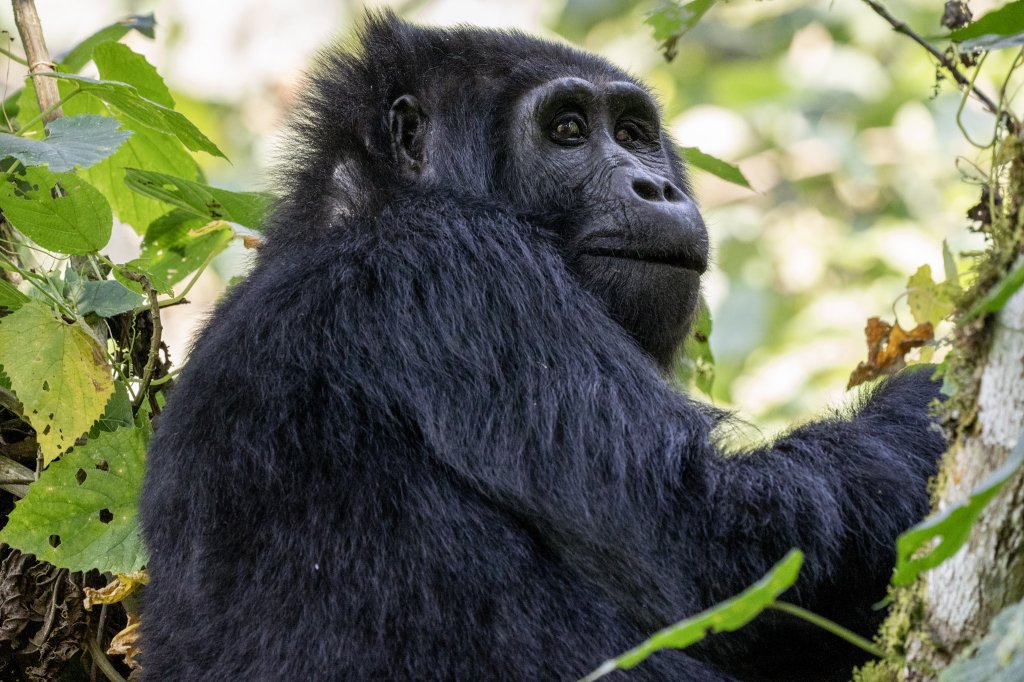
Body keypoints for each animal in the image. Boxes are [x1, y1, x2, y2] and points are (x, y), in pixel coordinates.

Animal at [138, 11, 942, 679]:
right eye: (567, 130)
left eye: (633, 133)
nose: (656, 188)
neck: (364, 204)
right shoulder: (464, 270)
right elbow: (719, 550)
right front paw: (932, 396)